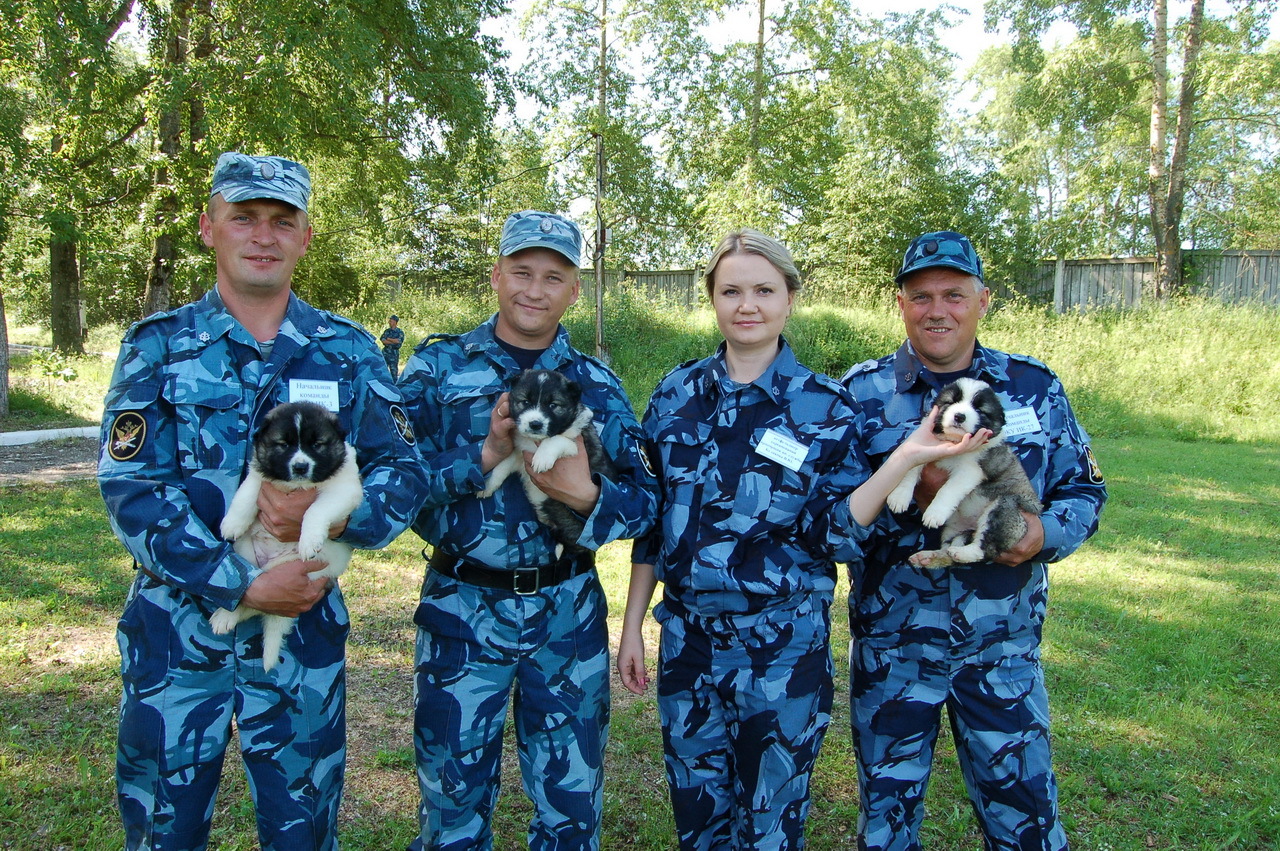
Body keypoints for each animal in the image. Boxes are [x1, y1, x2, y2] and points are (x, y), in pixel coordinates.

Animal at [211, 399, 360, 670]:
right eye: (283, 444)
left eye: (317, 444)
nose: (300, 467)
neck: (297, 485)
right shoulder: (260, 473)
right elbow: (248, 491)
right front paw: (232, 523)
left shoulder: (344, 489)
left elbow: (315, 509)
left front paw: (309, 540)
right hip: (246, 553)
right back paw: (225, 615)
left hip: (294, 570)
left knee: (259, 606)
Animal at [481, 368, 616, 555]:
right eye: (525, 402)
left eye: (553, 405)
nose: (535, 424)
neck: (535, 441)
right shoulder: (519, 452)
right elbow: (501, 467)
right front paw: (486, 486)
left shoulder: (578, 446)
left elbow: (556, 440)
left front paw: (542, 458)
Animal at [890, 376, 1039, 563]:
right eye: (950, 402)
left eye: (979, 410)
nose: (959, 416)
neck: (954, 441)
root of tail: (971, 528)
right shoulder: (923, 448)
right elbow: (910, 469)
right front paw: (899, 497)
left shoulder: (970, 470)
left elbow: (948, 489)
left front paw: (934, 513)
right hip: (952, 529)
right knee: (947, 553)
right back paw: (929, 557)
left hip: (1005, 508)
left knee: (984, 549)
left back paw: (962, 552)